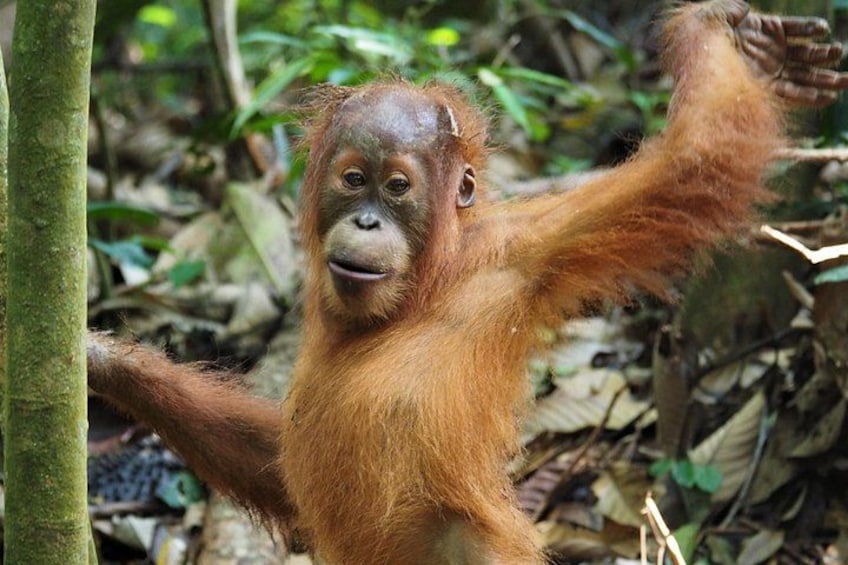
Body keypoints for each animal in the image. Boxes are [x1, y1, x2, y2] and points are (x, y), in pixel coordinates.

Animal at [86, 1, 848, 562]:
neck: (427, 289)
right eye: (353, 179)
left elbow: (693, 164)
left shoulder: (531, 248)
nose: (366, 221)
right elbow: (277, 459)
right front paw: (107, 362)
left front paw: (733, 39)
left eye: (397, 187)